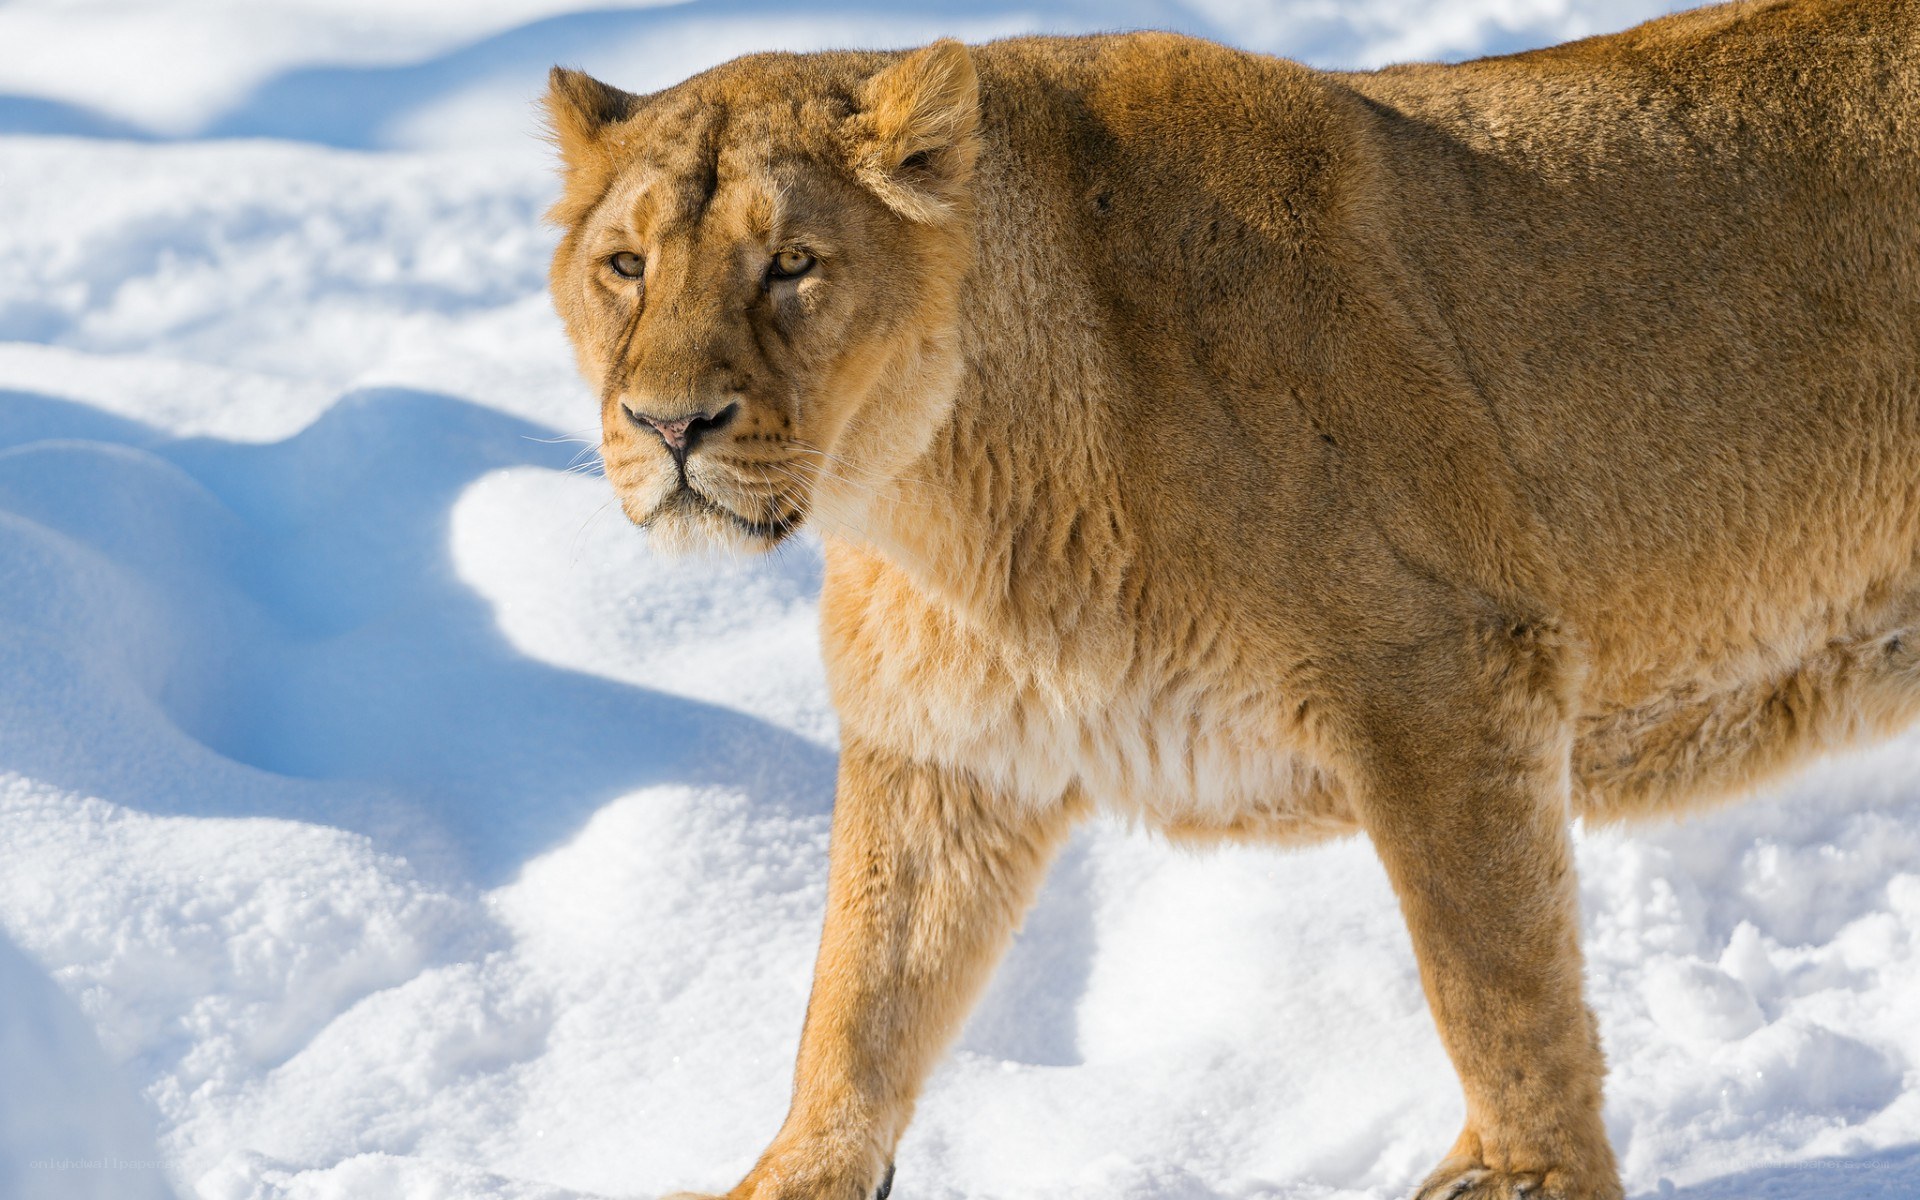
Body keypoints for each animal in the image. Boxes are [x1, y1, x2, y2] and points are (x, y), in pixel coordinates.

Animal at [541, 1, 1920, 1196]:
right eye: (625, 265)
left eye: (792, 264)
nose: (667, 426)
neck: (929, 498)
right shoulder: (949, 745)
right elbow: (860, 998)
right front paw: (800, 1174)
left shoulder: (1449, 671)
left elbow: (1493, 977)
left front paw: (1532, 1176)